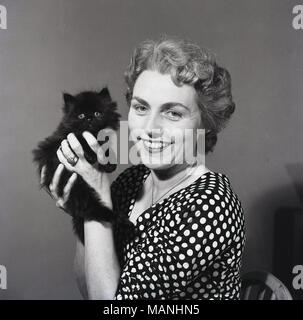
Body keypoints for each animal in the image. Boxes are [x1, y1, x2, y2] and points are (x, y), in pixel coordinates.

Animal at [33, 87, 122, 242]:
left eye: (97, 113)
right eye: (81, 116)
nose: (89, 118)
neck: (92, 135)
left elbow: (105, 149)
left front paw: (110, 164)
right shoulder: (65, 140)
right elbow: (81, 140)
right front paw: (91, 155)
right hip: (77, 188)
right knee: (92, 207)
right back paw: (117, 218)